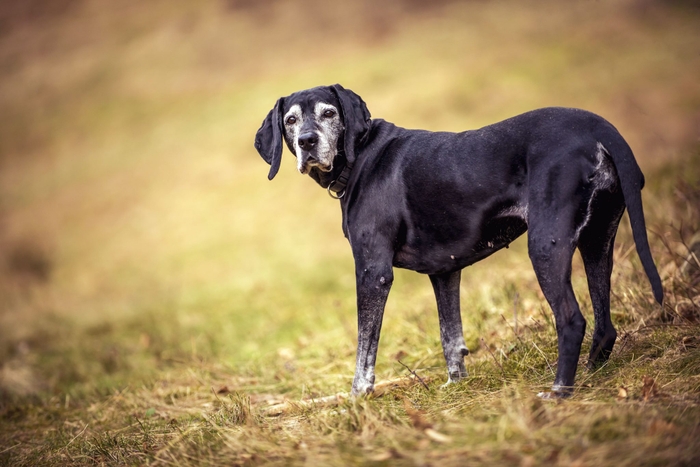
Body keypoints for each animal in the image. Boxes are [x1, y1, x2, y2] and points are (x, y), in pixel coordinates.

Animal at [254, 84, 664, 398]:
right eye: (291, 120)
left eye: (328, 113)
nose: (307, 141)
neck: (360, 156)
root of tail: (598, 127)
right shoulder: (445, 272)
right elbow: (450, 335)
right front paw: (456, 385)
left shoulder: (373, 272)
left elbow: (365, 346)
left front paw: (358, 396)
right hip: (598, 241)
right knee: (604, 323)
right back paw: (592, 373)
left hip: (546, 245)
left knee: (572, 320)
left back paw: (559, 391)